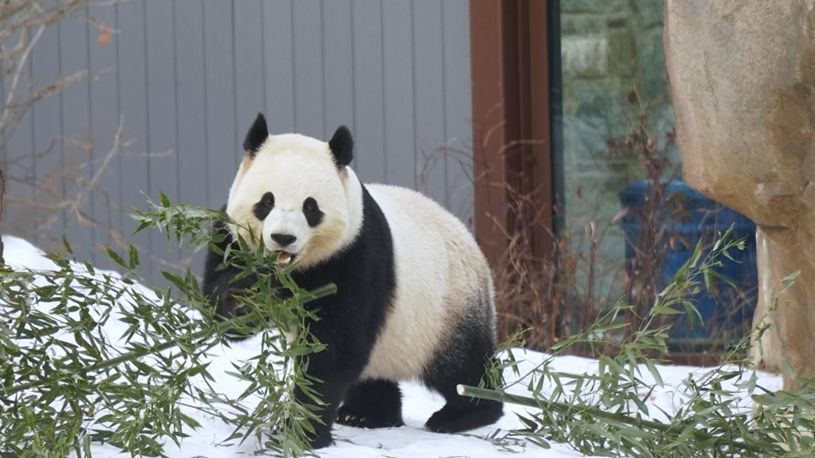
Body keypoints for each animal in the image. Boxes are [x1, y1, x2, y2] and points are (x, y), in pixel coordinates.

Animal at [202, 113, 503, 448]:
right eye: (266, 201)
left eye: (310, 207)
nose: (283, 238)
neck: (293, 272)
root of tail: (472, 244)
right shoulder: (230, 238)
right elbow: (224, 310)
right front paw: (243, 302)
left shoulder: (355, 255)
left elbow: (334, 348)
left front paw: (301, 433)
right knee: (374, 371)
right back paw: (365, 414)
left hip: (446, 309)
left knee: (462, 366)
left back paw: (463, 413)